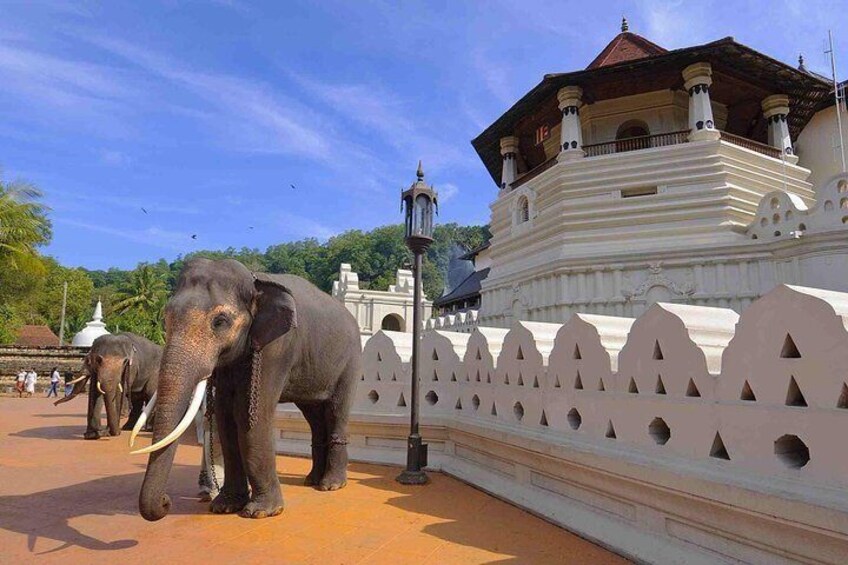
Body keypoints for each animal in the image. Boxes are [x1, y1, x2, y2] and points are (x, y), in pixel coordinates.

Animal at [134, 258, 360, 524]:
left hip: (350, 362)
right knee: (314, 415)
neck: (254, 280)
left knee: (336, 410)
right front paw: (224, 506)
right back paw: (312, 480)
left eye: (220, 321)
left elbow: (250, 415)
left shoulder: (277, 347)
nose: (165, 501)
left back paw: (331, 485)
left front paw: (260, 512)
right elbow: (225, 416)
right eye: (165, 318)